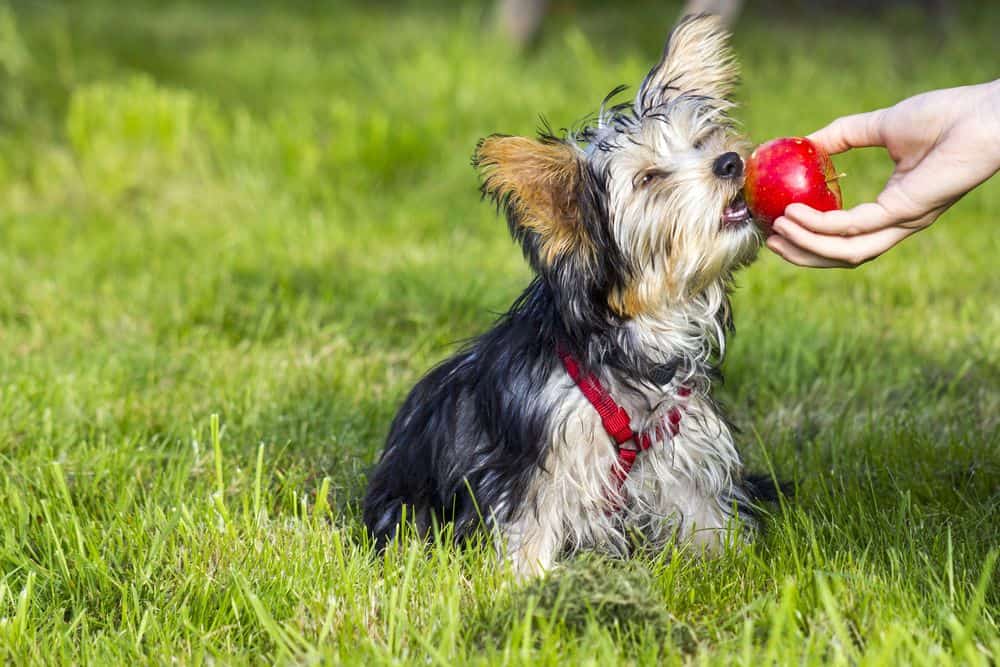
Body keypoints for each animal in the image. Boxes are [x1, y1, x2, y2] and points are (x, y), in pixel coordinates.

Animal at [364, 17, 768, 580]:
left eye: (702, 140)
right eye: (649, 179)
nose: (730, 161)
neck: (634, 339)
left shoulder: (683, 446)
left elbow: (703, 511)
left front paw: (730, 562)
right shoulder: (535, 462)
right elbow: (529, 528)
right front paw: (526, 586)